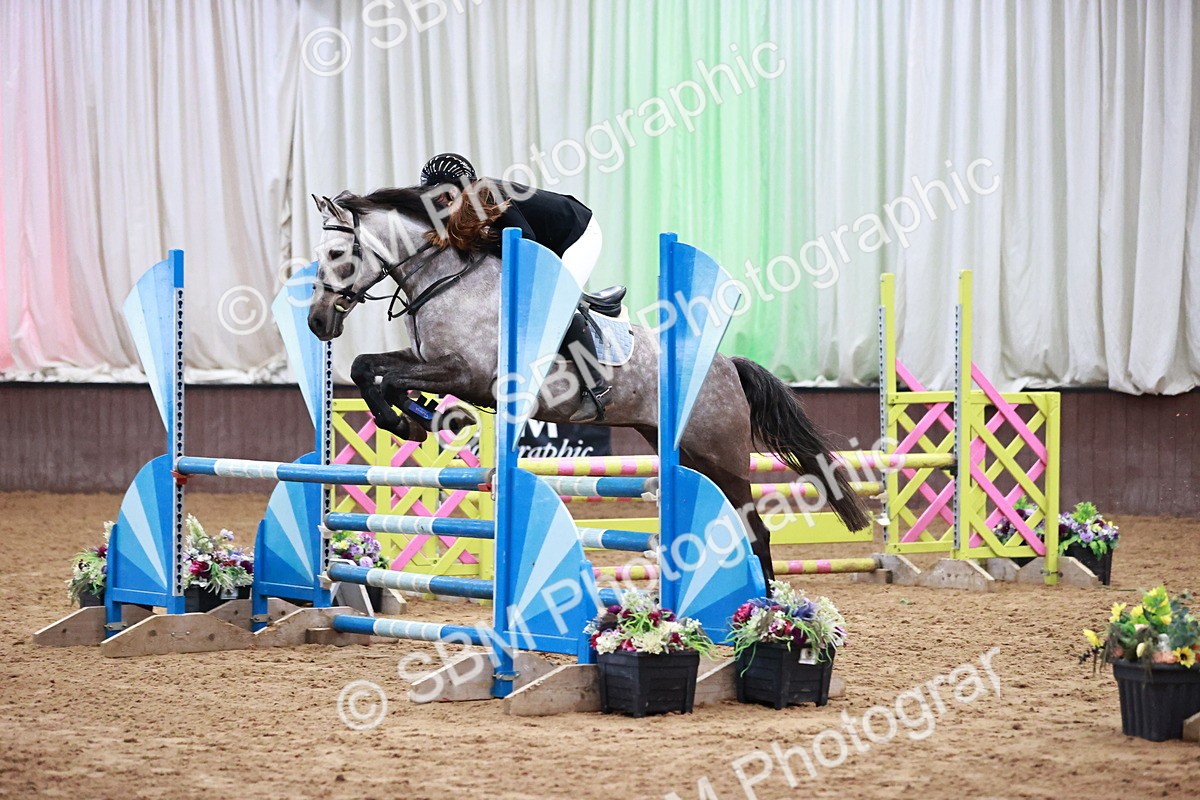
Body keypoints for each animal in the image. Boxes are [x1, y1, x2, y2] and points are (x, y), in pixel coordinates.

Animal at [306, 187, 872, 581]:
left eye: (336, 255)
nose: (317, 322)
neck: (446, 278)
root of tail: (726, 363)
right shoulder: (430, 362)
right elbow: (369, 368)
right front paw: (412, 420)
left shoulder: (469, 373)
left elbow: (384, 374)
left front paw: (412, 418)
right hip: (681, 449)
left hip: (722, 455)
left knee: (755, 529)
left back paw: (771, 614)